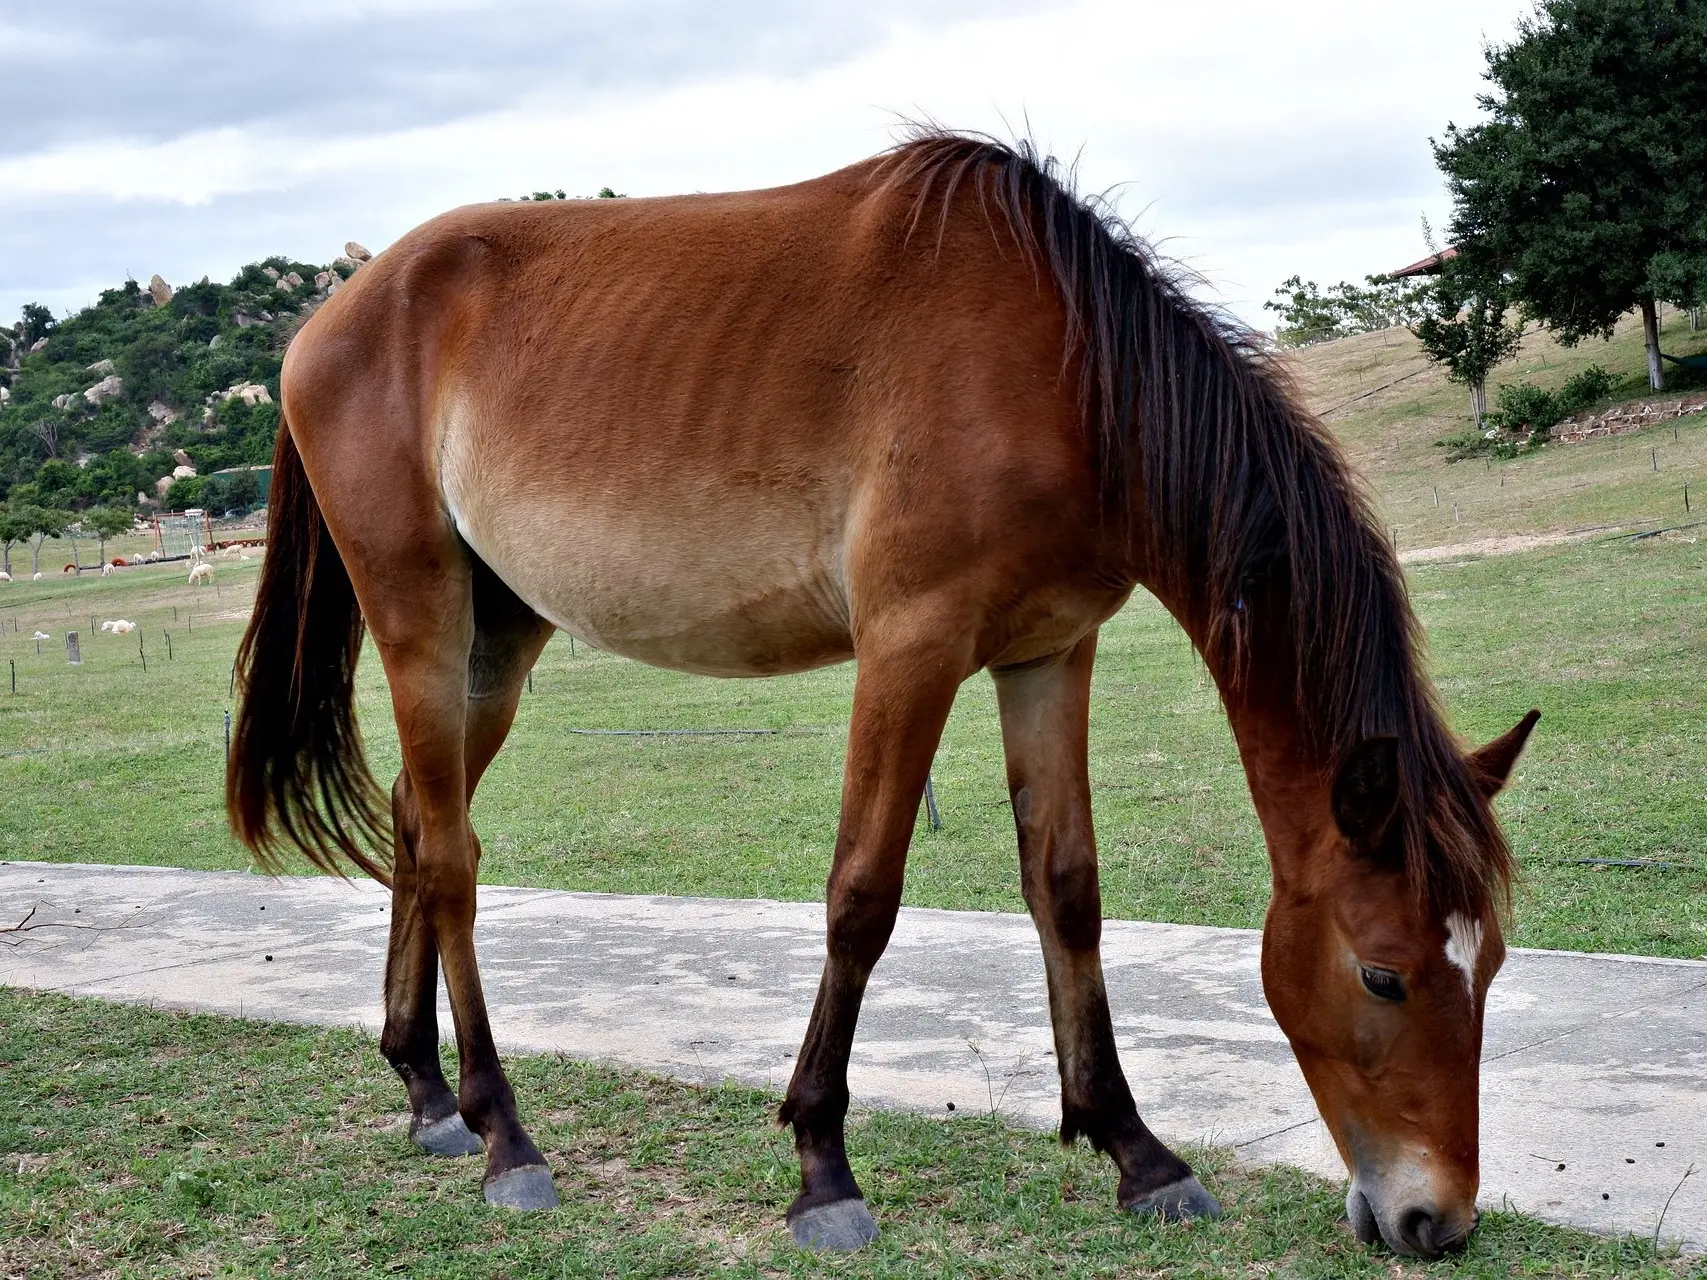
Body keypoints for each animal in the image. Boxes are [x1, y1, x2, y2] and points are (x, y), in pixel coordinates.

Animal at [220, 133, 1543, 1262]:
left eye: (1488, 964)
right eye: (1383, 974)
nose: (1436, 1218)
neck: (1064, 370)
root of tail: (333, 314)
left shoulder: (1049, 651)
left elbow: (1067, 889)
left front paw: (1136, 1150)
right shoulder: (911, 648)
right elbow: (862, 895)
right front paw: (823, 1165)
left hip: (499, 638)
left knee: (414, 818)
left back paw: (426, 1090)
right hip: (422, 620)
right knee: (450, 858)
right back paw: (505, 1131)